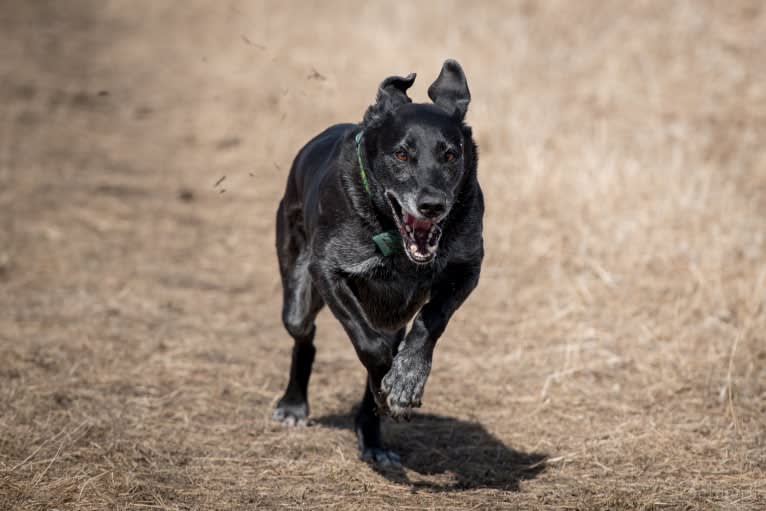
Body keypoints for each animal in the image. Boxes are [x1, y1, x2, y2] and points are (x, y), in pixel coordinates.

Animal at [272, 61, 484, 468]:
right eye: (401, 155)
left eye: (450, 155)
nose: (432, 205)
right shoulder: (328, 270)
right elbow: (369, 346)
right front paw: (391, 386)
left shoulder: (467, 268)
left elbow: (431, 321)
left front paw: (406, 379)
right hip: (297, 289)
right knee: (303, 334)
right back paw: (293, 404)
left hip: (391, 317)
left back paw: (373, 439)